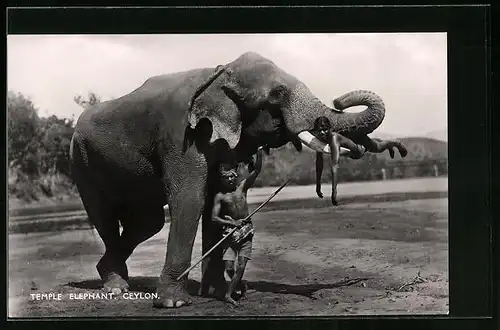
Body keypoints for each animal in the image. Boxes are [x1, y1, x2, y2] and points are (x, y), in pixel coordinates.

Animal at [70, 50, 388, 308]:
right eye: (277, 93)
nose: (338, 102)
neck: (219, 73)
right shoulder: (180, 135)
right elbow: (190, 198)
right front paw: (174, 303)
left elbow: (212, 197)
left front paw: (214, 293)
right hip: (81, 162)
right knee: (106, 216)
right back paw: (115, 287)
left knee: (149, 222)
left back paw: (112, 277)